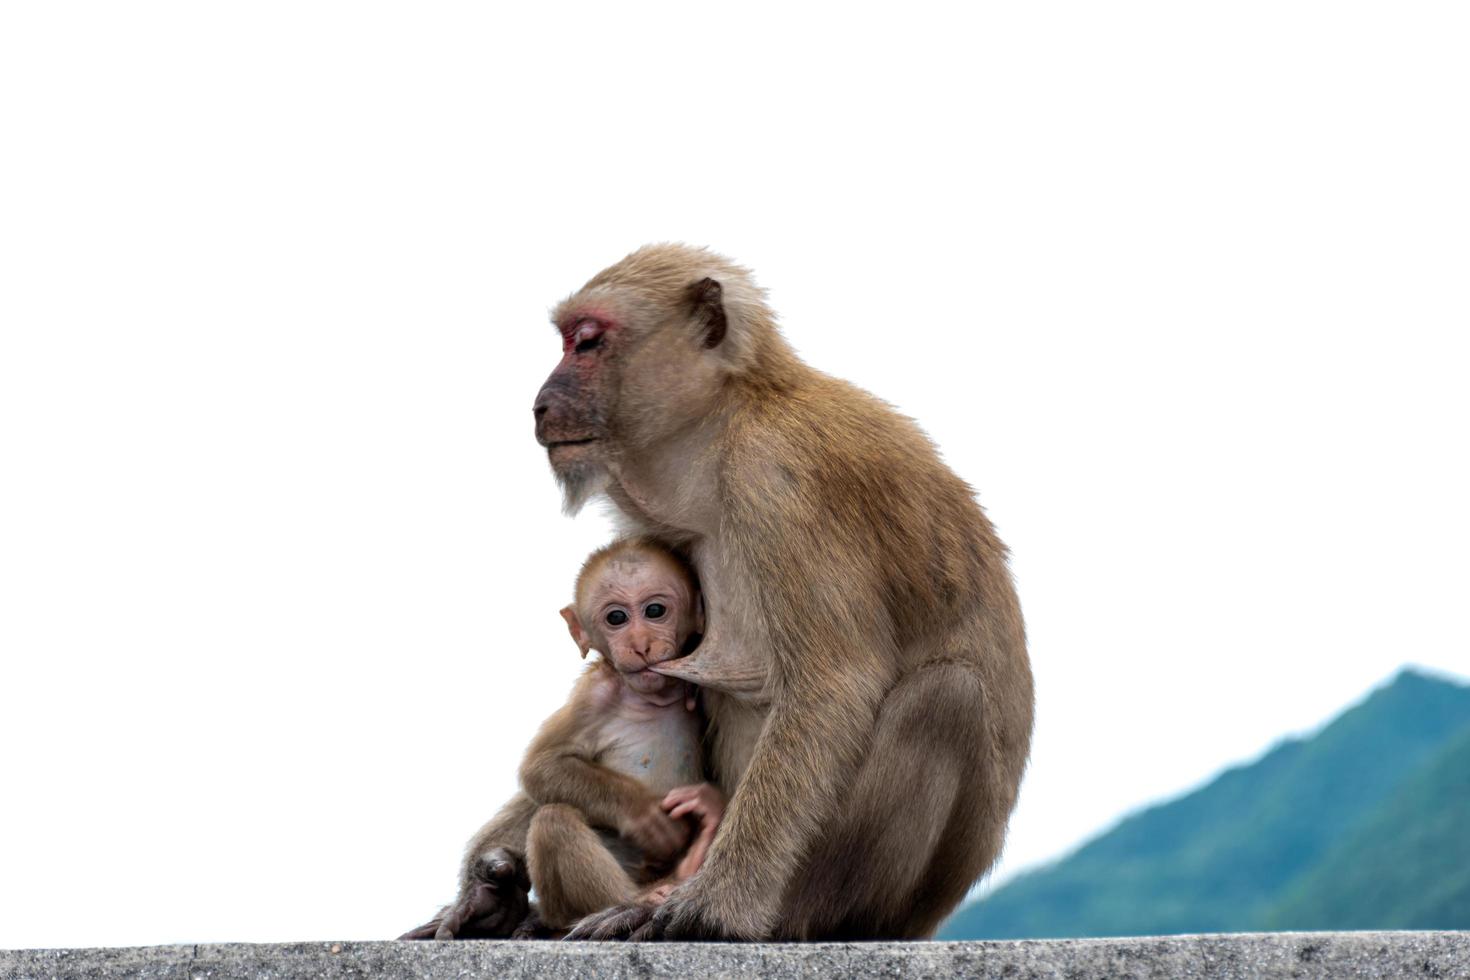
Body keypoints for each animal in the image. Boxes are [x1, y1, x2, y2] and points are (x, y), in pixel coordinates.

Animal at [402, 540, 723, 940]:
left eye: (655, 611)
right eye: (616, 618)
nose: (639, 644)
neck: (650, 698)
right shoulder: (593, 696)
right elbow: (542, 766)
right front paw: (646, 816)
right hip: (573, 901)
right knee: (553, 820)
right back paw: (637, 902)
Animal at [535, 245, 1029, 940]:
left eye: (586, 341)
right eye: (567, 341)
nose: (540, 403)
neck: (728, 419)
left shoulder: (777, 480)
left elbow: (833, 683)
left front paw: (714, 905)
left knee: (945, 698)